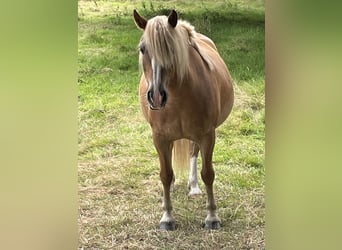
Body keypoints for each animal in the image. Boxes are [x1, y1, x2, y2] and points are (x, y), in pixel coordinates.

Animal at [132, 9, 234, 230]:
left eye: (171, 49)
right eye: (143, 49)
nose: (156, 96)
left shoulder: (207, 135)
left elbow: (208, 173)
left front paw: (212, 217)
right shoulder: (160, 138)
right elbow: (165, 174)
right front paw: (167, 217)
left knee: (193, 153)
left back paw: (194, 186)